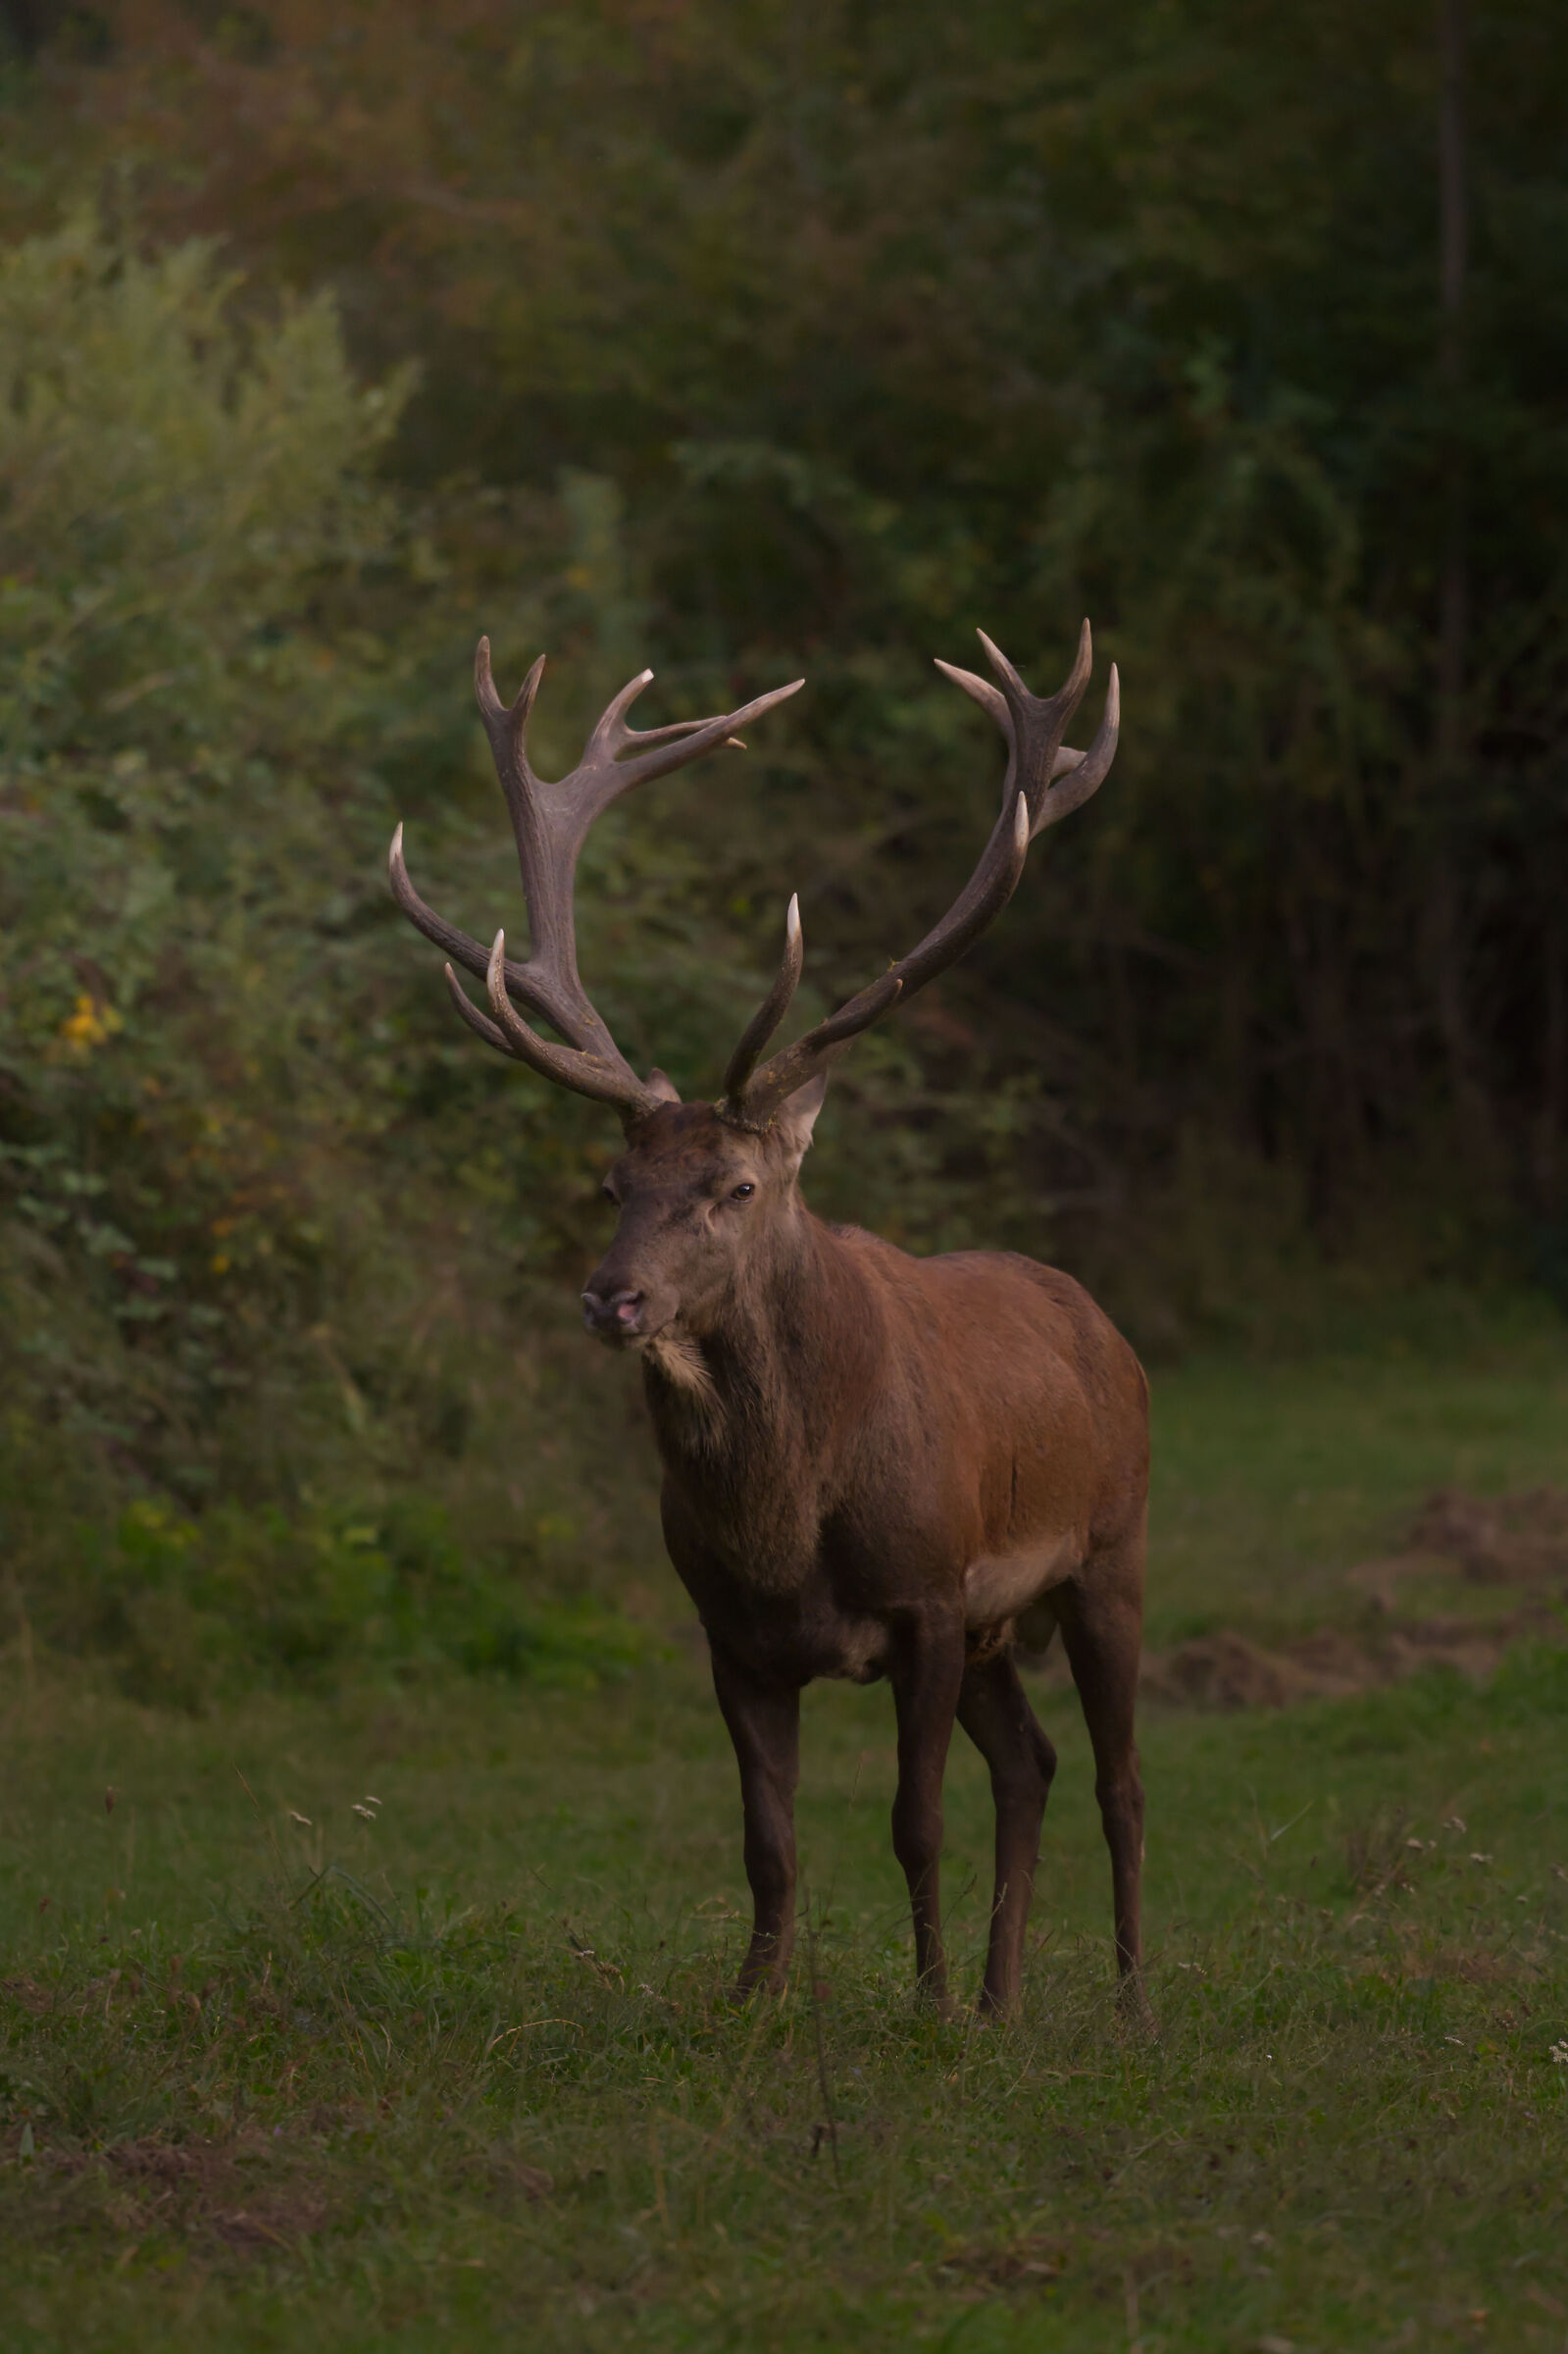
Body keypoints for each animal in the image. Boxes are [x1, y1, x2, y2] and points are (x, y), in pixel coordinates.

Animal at [389, 621, 1149, 2021]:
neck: (787, 1529)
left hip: (1107, 1549)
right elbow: (769, 1841)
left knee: (1119, 1778)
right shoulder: (730, 1635)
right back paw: (1009, 2001)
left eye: (736, 1187)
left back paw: (1126, 2004)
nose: (612, 1295)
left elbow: (913, 1822)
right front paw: (753, 2003)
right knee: (1035, 1763)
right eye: (613, 1183)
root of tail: (1102, 1326)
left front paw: (925, 2010)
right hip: (1002, 1623)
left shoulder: (927, 1598)